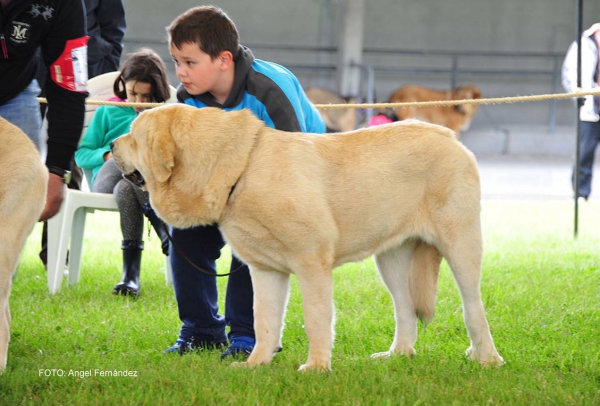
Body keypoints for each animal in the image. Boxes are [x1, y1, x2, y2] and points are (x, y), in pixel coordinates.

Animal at [111, 104, 502, 372]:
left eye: (133, 135)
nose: (112, 145)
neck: (241, 168)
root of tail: (449, 137)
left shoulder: (312, 264)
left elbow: (316, 319)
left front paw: (316, 368)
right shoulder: (265, 271)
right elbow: (264, 320)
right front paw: (255, 364)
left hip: (461, 246)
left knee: (473, 307)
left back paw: (486, 358)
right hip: (391, 260)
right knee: (405, 310)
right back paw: (396, 355)